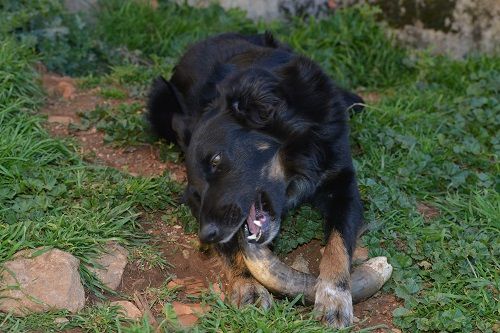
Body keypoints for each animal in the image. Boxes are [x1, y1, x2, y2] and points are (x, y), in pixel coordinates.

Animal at [147, 31, 364, 326]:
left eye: (216, 160)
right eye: (197, 192)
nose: (207, 235)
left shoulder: (343, 183)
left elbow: (338, 243)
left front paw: (334, 296)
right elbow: (232, 248)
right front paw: (246, 284)